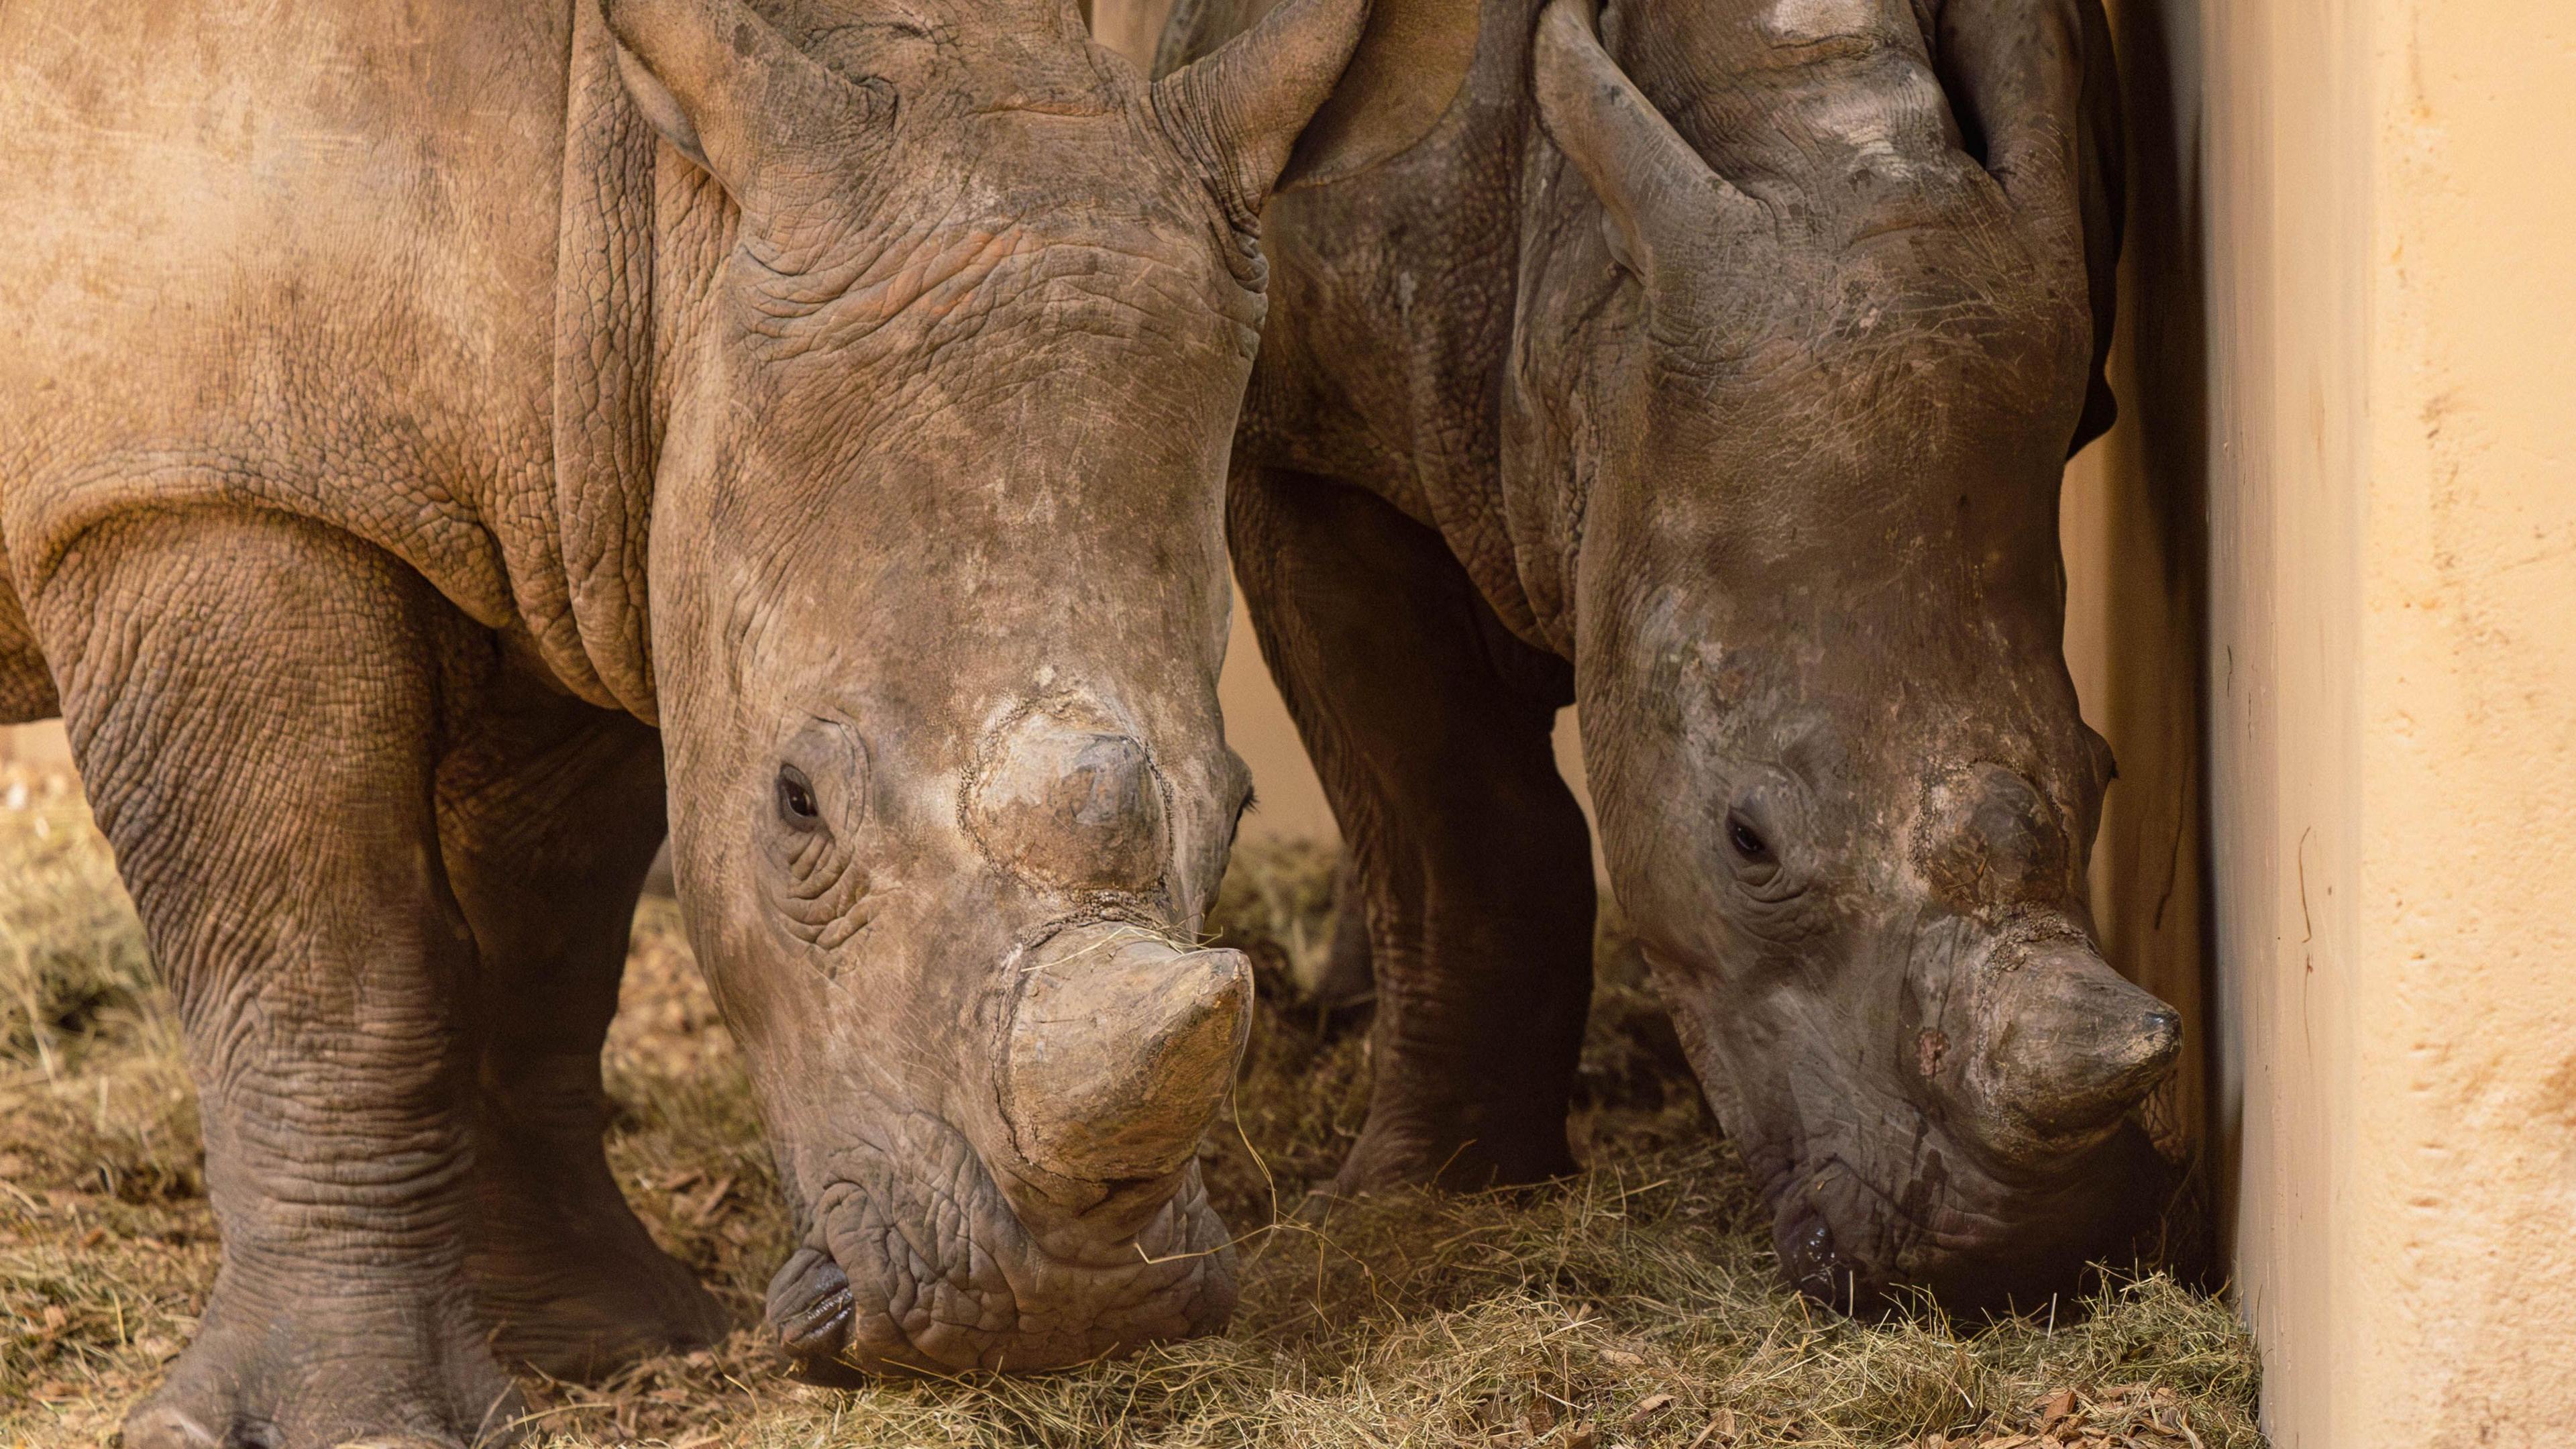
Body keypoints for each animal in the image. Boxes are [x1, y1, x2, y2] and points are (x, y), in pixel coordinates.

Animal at [0, 0, 1369, 1440]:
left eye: (1239, 805)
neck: (657, 206)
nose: (1065, 1313)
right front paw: (360, 1419)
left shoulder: (587, 510)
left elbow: (548, 939)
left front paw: (597, 1342)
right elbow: (333, 977)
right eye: (797, 805)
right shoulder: (203, 489)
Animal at [1154, 0, 2182, 1312]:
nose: (2019, 1256)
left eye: (2106, 773)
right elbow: (1457, 827)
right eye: (1747, 842)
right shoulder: (1300, 443)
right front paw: (1421, 1198)